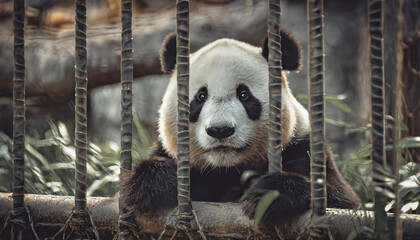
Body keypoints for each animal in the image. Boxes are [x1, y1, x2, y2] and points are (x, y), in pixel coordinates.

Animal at [122, 31, 360, 224]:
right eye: (200, 97)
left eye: (244, 95)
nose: (220, 130)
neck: (226, 169)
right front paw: (158, 183)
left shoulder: (303, 146)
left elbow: (339, 200)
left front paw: (267, 195)